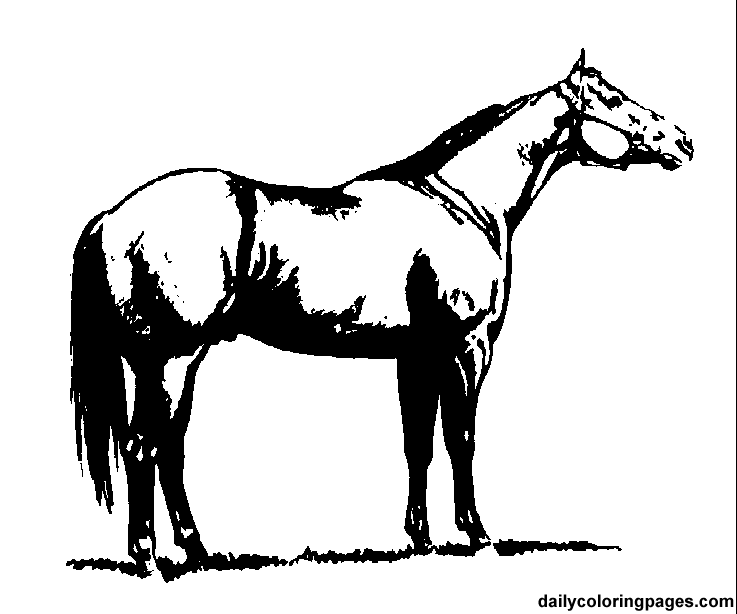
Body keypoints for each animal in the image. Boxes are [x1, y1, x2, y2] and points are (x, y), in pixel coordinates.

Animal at [71, 51, 693, 575]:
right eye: (611, 99)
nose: (683, 142)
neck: (462, 201)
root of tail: (112, 216)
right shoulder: (467, 347)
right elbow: (460, 438)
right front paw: (478, 536)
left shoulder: (415, 354)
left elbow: (418, 440)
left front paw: (421, 539)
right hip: (172, 358)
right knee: (144, 446)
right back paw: (151, 557)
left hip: (164, 361)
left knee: (167, 447)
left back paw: (199, 551)